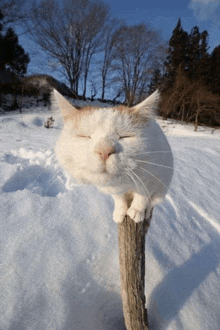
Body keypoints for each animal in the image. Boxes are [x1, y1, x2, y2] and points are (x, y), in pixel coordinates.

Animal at [54, 90, 173, 223]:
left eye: (125, 136)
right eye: (85, 136)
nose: (104, 150)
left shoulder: (152, 178)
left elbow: (142, 197)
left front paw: (137, 211)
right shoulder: (114, 189)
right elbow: (119, 199)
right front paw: (120, 211)